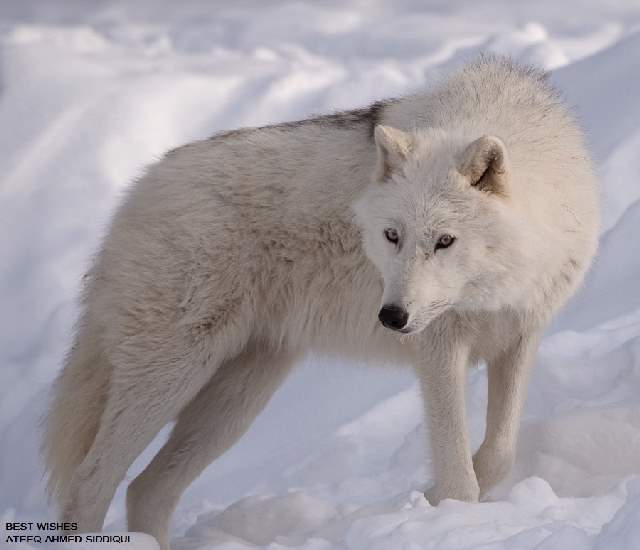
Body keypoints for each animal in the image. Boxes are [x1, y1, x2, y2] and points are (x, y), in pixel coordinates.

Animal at [42, 58, 596, 548]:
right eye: (392, 236)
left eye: (444, 241)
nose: (391, 316)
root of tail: (135, 193)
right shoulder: (438, 351)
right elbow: (459, 471)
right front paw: (447, 508)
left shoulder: (521, 336)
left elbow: (500, 454)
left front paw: (444, 496)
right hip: (172, 377)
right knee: (90, 482)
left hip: (238, 398)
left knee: (146, 488)